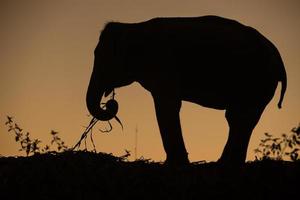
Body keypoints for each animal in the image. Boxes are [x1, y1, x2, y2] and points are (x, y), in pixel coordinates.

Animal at [86, 15, 286, 166]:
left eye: (102, 57)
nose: (110, 103)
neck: (133, 26)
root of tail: (277, 57)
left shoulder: (163, 65)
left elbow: (167, 106)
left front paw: (174, 164)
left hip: (256, 81)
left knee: (240, 117)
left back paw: (224, 164)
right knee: (239, 119)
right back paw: (227, 163)